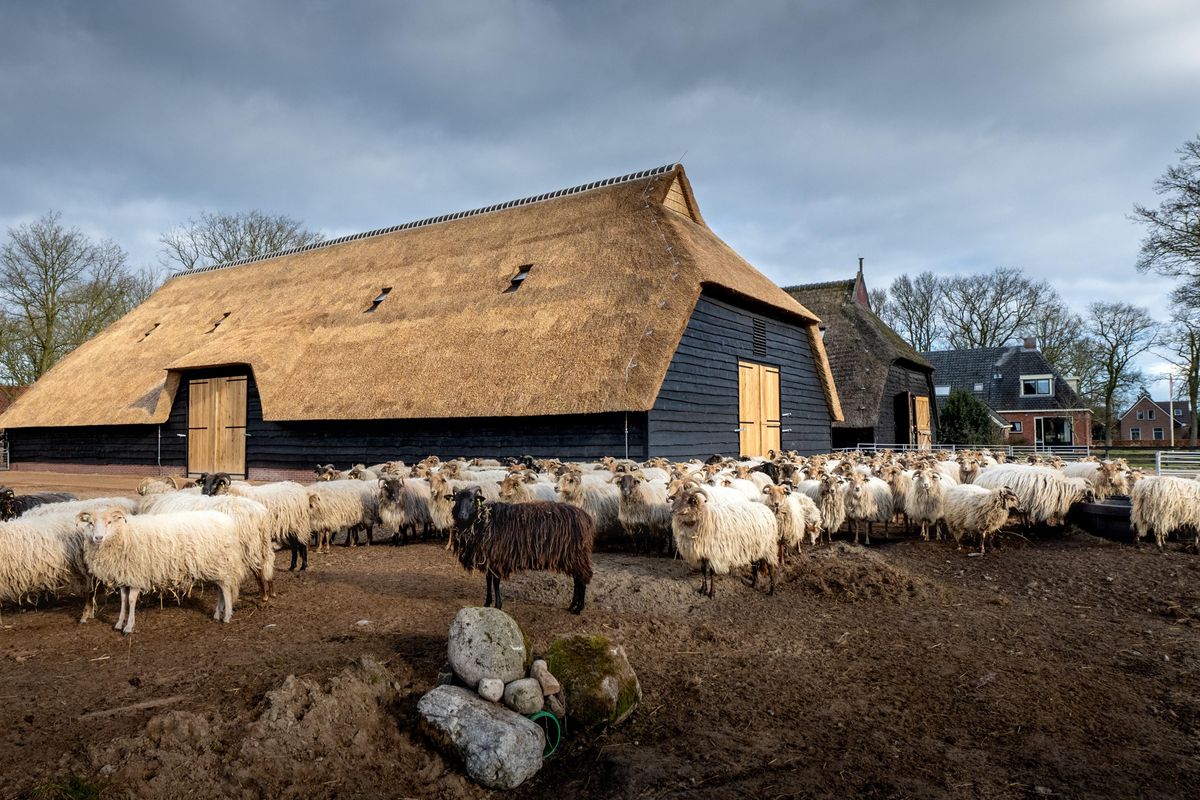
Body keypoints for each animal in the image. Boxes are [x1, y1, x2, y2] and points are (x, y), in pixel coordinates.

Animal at [78, 510, 248, 633]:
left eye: (109, 522)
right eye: (91, 523)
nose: (98, 537)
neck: (124, 534)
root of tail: (228, 520)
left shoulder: (136, 575)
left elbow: (131, 601)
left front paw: (129, 627)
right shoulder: (124, 577)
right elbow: (123, 600)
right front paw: (119, 624)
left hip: (221, 563)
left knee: (225, 588)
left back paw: (227, 616)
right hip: (215, 567)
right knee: (220, 588)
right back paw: (217, 614)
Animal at [448, 489, 592, 614]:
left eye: (472, 500)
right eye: (456, 500)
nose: (462, 515)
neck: (483, 520)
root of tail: (586, 517)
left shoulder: (497, 558)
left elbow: (496, 582)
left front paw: (498, 605)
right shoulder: (488, 559)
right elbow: (488, 580)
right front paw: (487, 603)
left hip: (577, 556)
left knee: (582, 579)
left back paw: (578, 608)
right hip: (572, 558)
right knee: (577, 580)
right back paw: (572, 606)